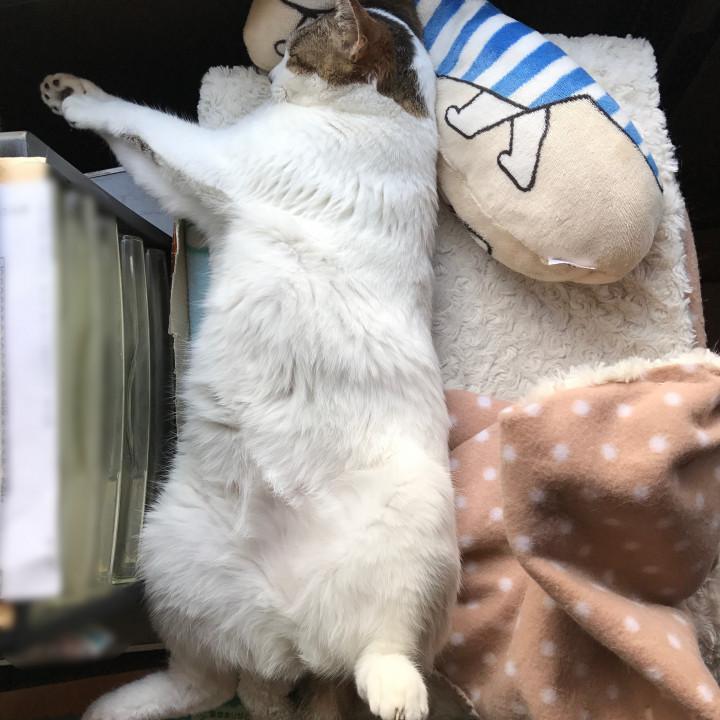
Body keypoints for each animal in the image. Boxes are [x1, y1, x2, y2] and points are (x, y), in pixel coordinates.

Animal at [40, 1, 460, 719]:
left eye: (296, 44)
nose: (277, 57)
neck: (391, 114)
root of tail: (289, 636)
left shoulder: (216, 161)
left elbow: (137, 117)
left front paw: (80, 100)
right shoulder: (200, 200)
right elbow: (137, 150)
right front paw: (70, 93)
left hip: (416, 540)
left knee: (382, 646)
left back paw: (398, 695)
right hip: (169, 556)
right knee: (208, 681)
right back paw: (113, 706)